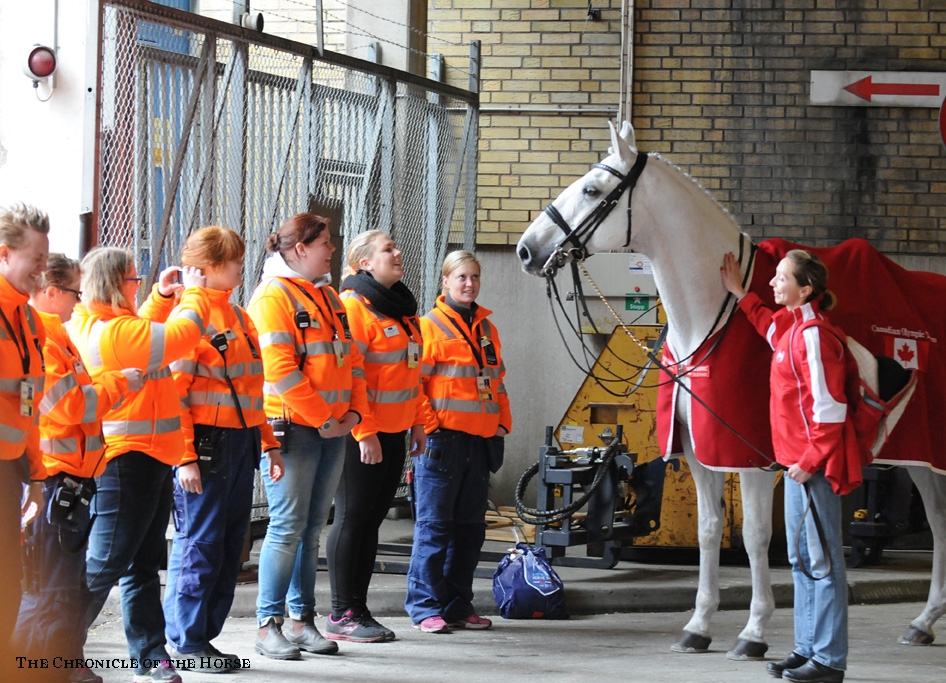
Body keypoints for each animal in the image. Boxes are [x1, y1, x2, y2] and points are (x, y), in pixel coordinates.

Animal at [512, 121, 944, 656]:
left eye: (592, 190)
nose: (526, 249)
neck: (714, 315)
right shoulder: (699, 454)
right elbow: (708, 530)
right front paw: (698, 627)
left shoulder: (752, 455)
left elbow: (755, 535)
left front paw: (754, 632)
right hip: (922, 459)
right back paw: (923, 622)